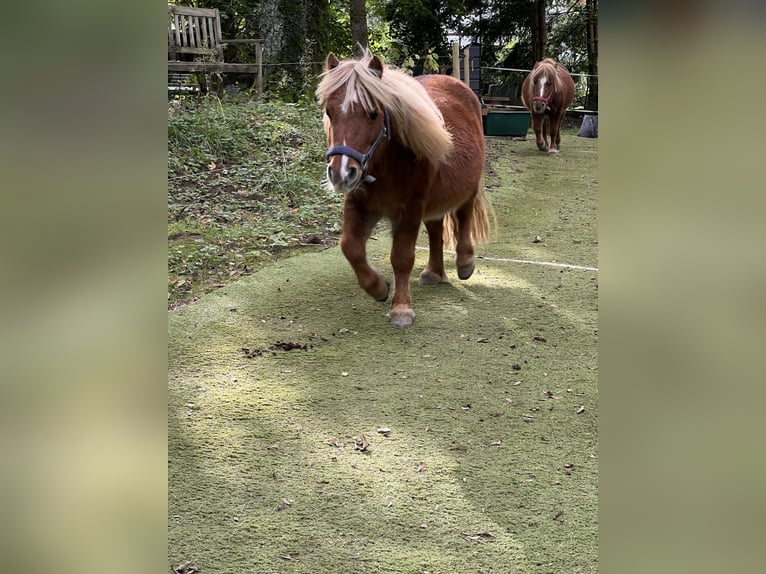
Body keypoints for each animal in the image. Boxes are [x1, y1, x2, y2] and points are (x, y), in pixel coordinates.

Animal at [316, 50, 492, 328]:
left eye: (373, 114)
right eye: (329, 112)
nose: (341, 173)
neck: (387, 163)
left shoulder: (410, 209)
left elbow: (401, 257)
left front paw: (401, 308)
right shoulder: (359, 205)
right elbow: (350, 247)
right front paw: (378, 287)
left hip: (467, 189)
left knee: (463, 218)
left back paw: (464, 263)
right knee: (436, 229)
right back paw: (434, 273)